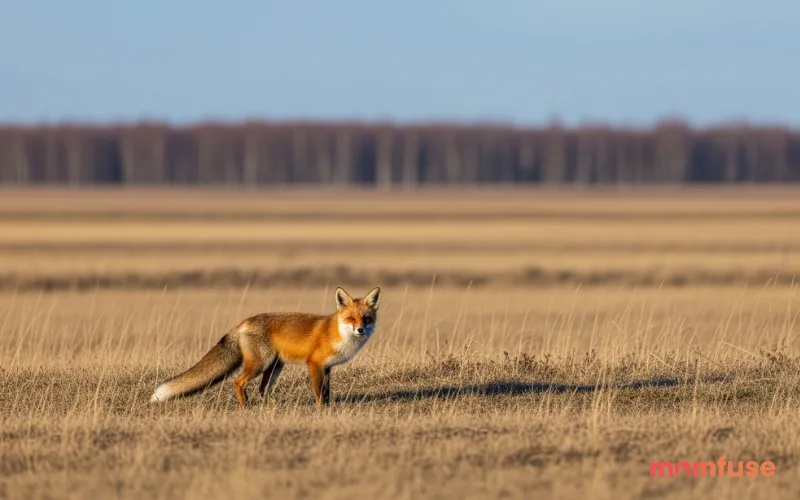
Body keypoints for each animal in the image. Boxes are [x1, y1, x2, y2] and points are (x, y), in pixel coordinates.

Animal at [149, 286, 381, 407]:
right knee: (238, 382)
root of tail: (243, 322)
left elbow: (327, 392)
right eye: (351, 318)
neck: (338, 333)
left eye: (366, 319)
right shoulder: (314, 364)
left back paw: (271, 407)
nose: (361, 330)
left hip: (275, 365)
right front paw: (320, 410)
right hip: (260, 363)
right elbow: (318, 392)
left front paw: (328, 406)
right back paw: (245, 406)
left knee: (262, 388)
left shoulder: (328, 368)